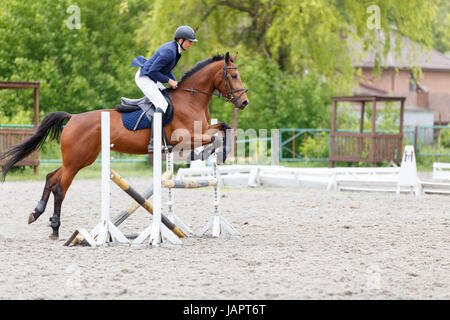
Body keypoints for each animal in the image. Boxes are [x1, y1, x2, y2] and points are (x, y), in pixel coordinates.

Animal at [0, 51, 248, 239]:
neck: (191, 99)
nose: (244, 102)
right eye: (234, 75)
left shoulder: (202, 129)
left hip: (81, 158)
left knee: (51, 178)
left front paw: (217, 154)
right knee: (60, 188)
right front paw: (209, 154)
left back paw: (37, 214)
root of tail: (73, 117)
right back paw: (54, 228)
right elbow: (215, 138)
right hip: (76, 160)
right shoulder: (185, 138)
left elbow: (224, 127)